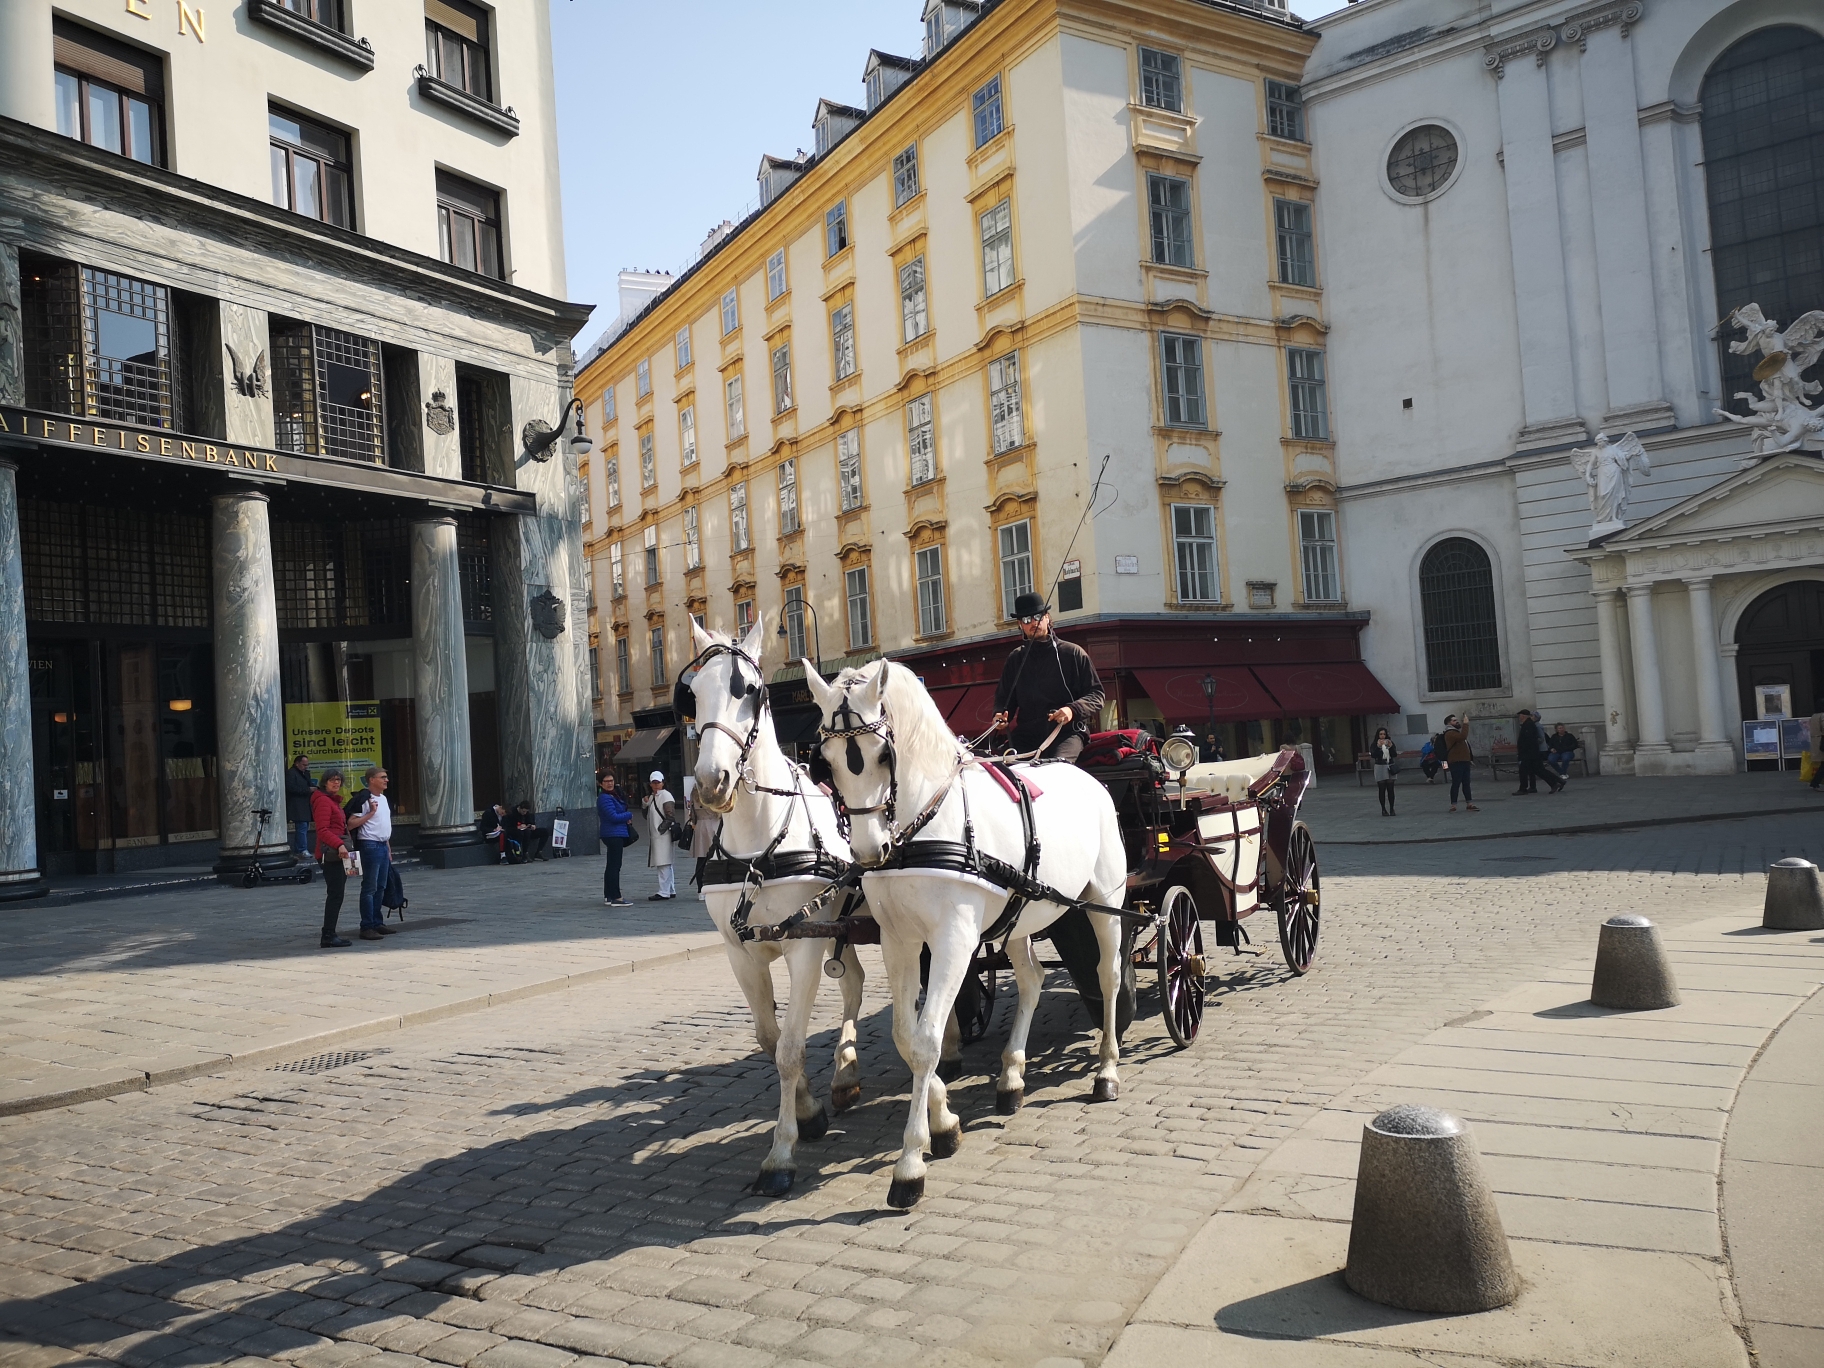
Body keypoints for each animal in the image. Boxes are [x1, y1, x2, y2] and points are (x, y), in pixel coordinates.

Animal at [685, 616, 864, 1196]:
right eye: (693, 694)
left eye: (748, 690)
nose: (711, 782)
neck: (757, 848)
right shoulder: (739, 952)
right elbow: (768, 1038)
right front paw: (807, 1111)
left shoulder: (802, 949)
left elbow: (789, 1048)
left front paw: (781, 1153)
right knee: (854, 982)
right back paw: (846, 1076)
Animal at [809, 663, 1130, 1211]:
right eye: (827, 762)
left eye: (883, 755)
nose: (870, 851)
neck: (923, 825)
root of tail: (1086, 777)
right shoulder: (899, 941)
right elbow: (906, 1036)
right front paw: (944, 1121)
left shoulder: (954, 940)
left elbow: (927, 1040)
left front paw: (911, 1162)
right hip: (1019, 916)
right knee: (1031, 979)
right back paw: (1012, 1077)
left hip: (1104, 898)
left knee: (1106, 976)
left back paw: (1106, 1070)